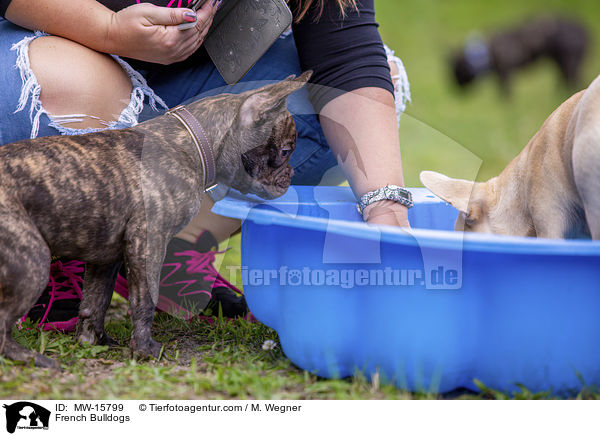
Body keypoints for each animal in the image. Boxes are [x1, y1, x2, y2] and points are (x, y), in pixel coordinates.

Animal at [452, 15, 588, 92]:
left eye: (458, 70)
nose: (455, 89)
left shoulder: (505, 73)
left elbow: (505, 92)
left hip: (569, 62)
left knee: (571, 77)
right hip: (561, 62)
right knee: (566, 78)